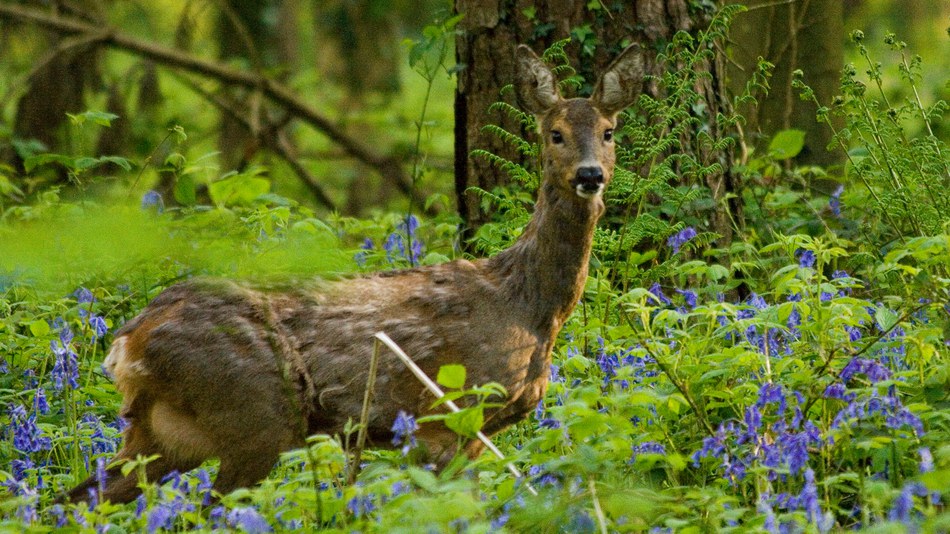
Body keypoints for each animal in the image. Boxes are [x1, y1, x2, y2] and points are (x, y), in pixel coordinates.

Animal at [67, 43, 648, 506]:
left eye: (608, 132)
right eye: (555, 134)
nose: (590, 175)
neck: (527, 307)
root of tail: (126, 342)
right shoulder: (443, 414)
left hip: (163, 434)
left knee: (76, 499)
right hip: (255, 414)